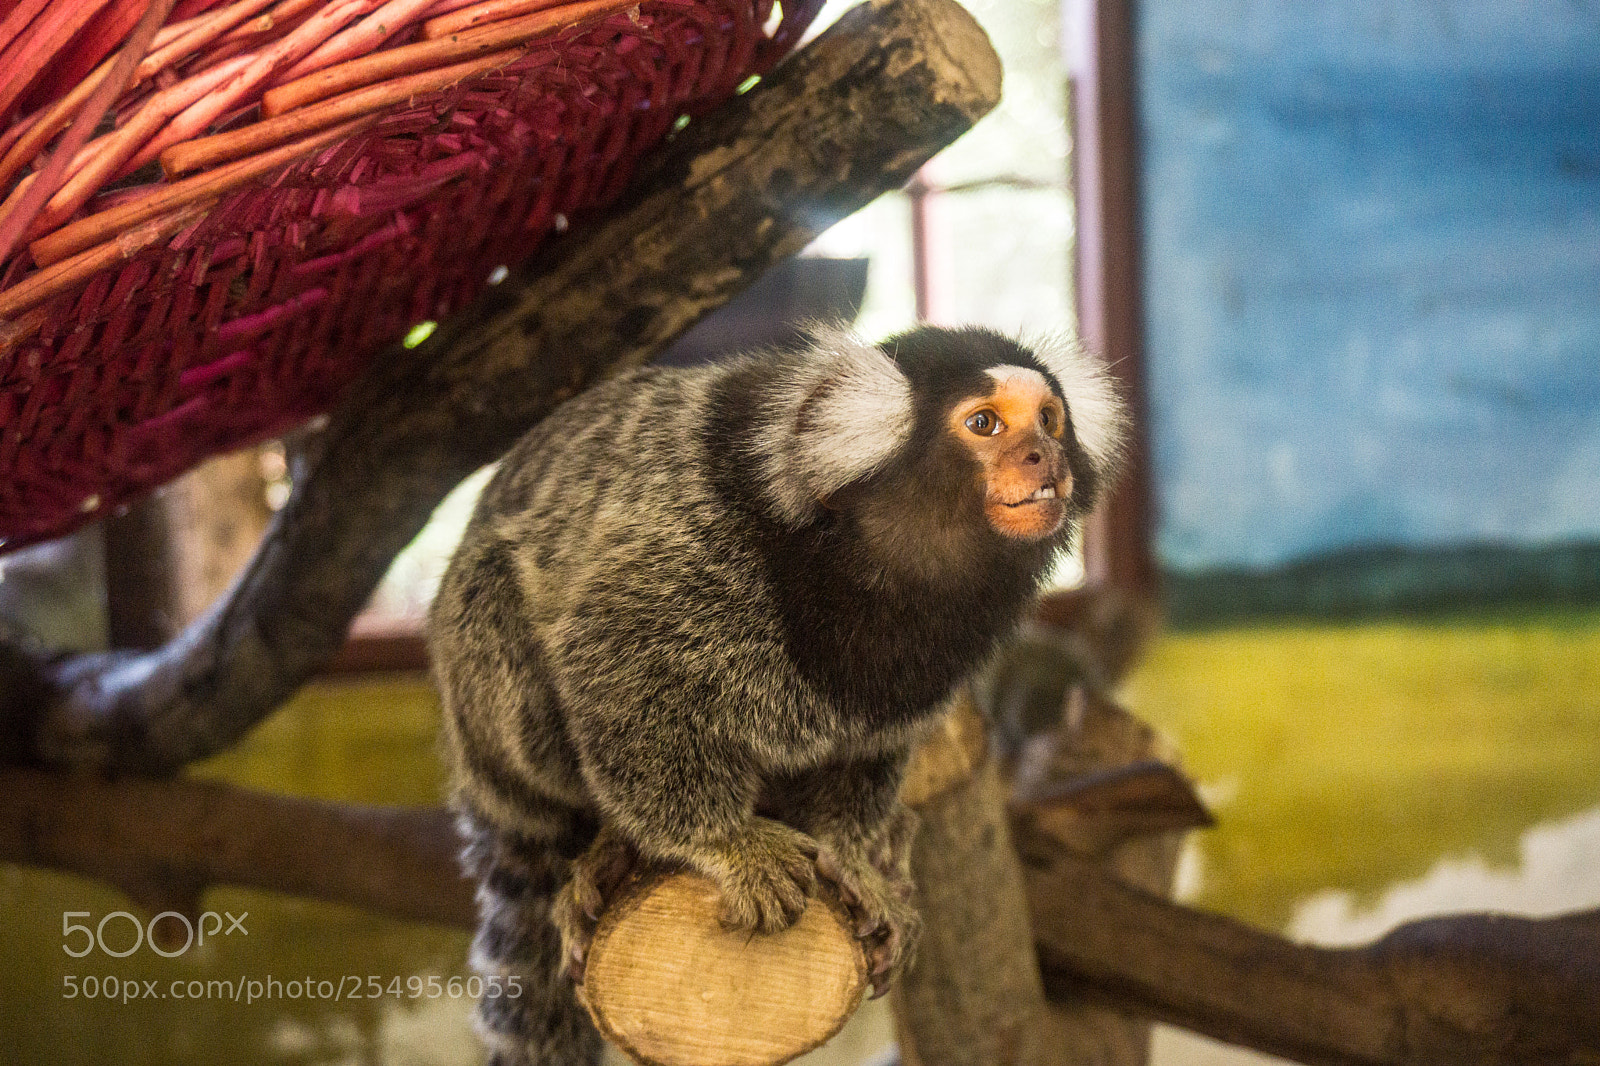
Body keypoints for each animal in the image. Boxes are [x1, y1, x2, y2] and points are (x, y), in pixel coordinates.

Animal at [427, 323, 1125, 1066]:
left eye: (1050, 421)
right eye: (985, 425)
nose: (1044, 457)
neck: (867, 561)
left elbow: (866, 753)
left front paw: (855, 855)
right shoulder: (694, 549)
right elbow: (611, 661)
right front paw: (727, 841)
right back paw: (609, 843)